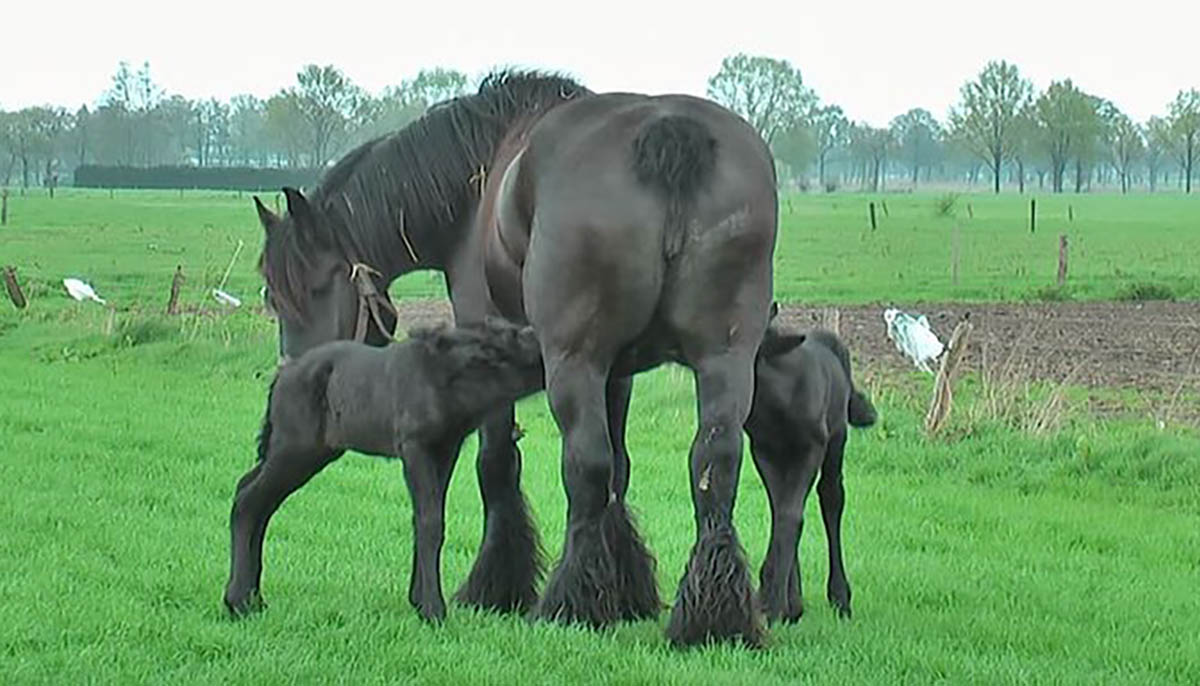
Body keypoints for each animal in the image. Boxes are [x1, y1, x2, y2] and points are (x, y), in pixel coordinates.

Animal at [250, 72, 777, 647]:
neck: (475, 188)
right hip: (723, 359)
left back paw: (568, 604)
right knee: (714, 465)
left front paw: (497, 585)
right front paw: (627, 589)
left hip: (574, 360)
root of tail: (669, 134)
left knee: (586, 466)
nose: (296, 378)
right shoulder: (618, 371)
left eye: (300, 291)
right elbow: (620, 468)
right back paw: (713, 617)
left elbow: (497, 462)